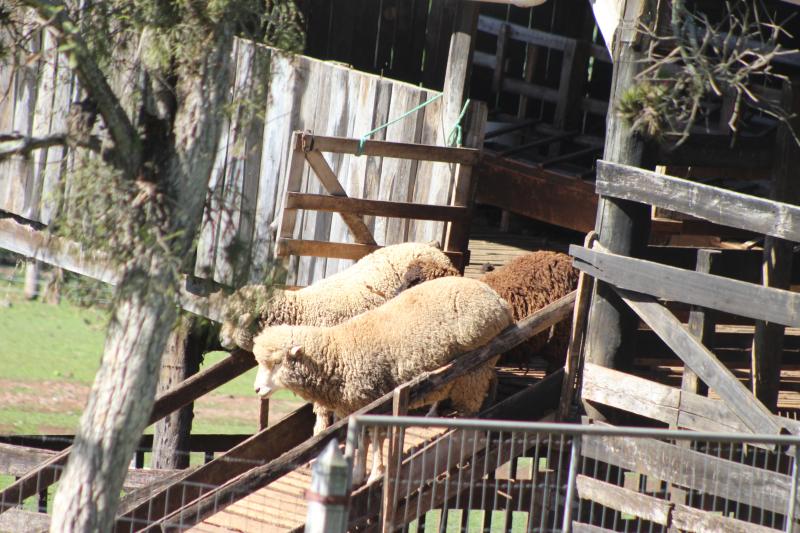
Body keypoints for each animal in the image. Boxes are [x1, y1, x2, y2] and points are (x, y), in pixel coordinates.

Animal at [219, 241, 460, 432]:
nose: (221, 339)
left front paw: (322, 432)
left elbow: (324, 410)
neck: (301, 311)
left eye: (235, 317)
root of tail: (433, 249)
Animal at [250, 274, 512, 482]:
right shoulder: (357, 406)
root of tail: (498, 300)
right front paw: (357, 474)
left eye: (276, 363)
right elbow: (361, 440)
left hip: (475, 369)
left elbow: (377, 439)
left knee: (469, 410)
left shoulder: (376, 401)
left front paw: (376, 474)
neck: (338, 353)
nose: (257, 390)